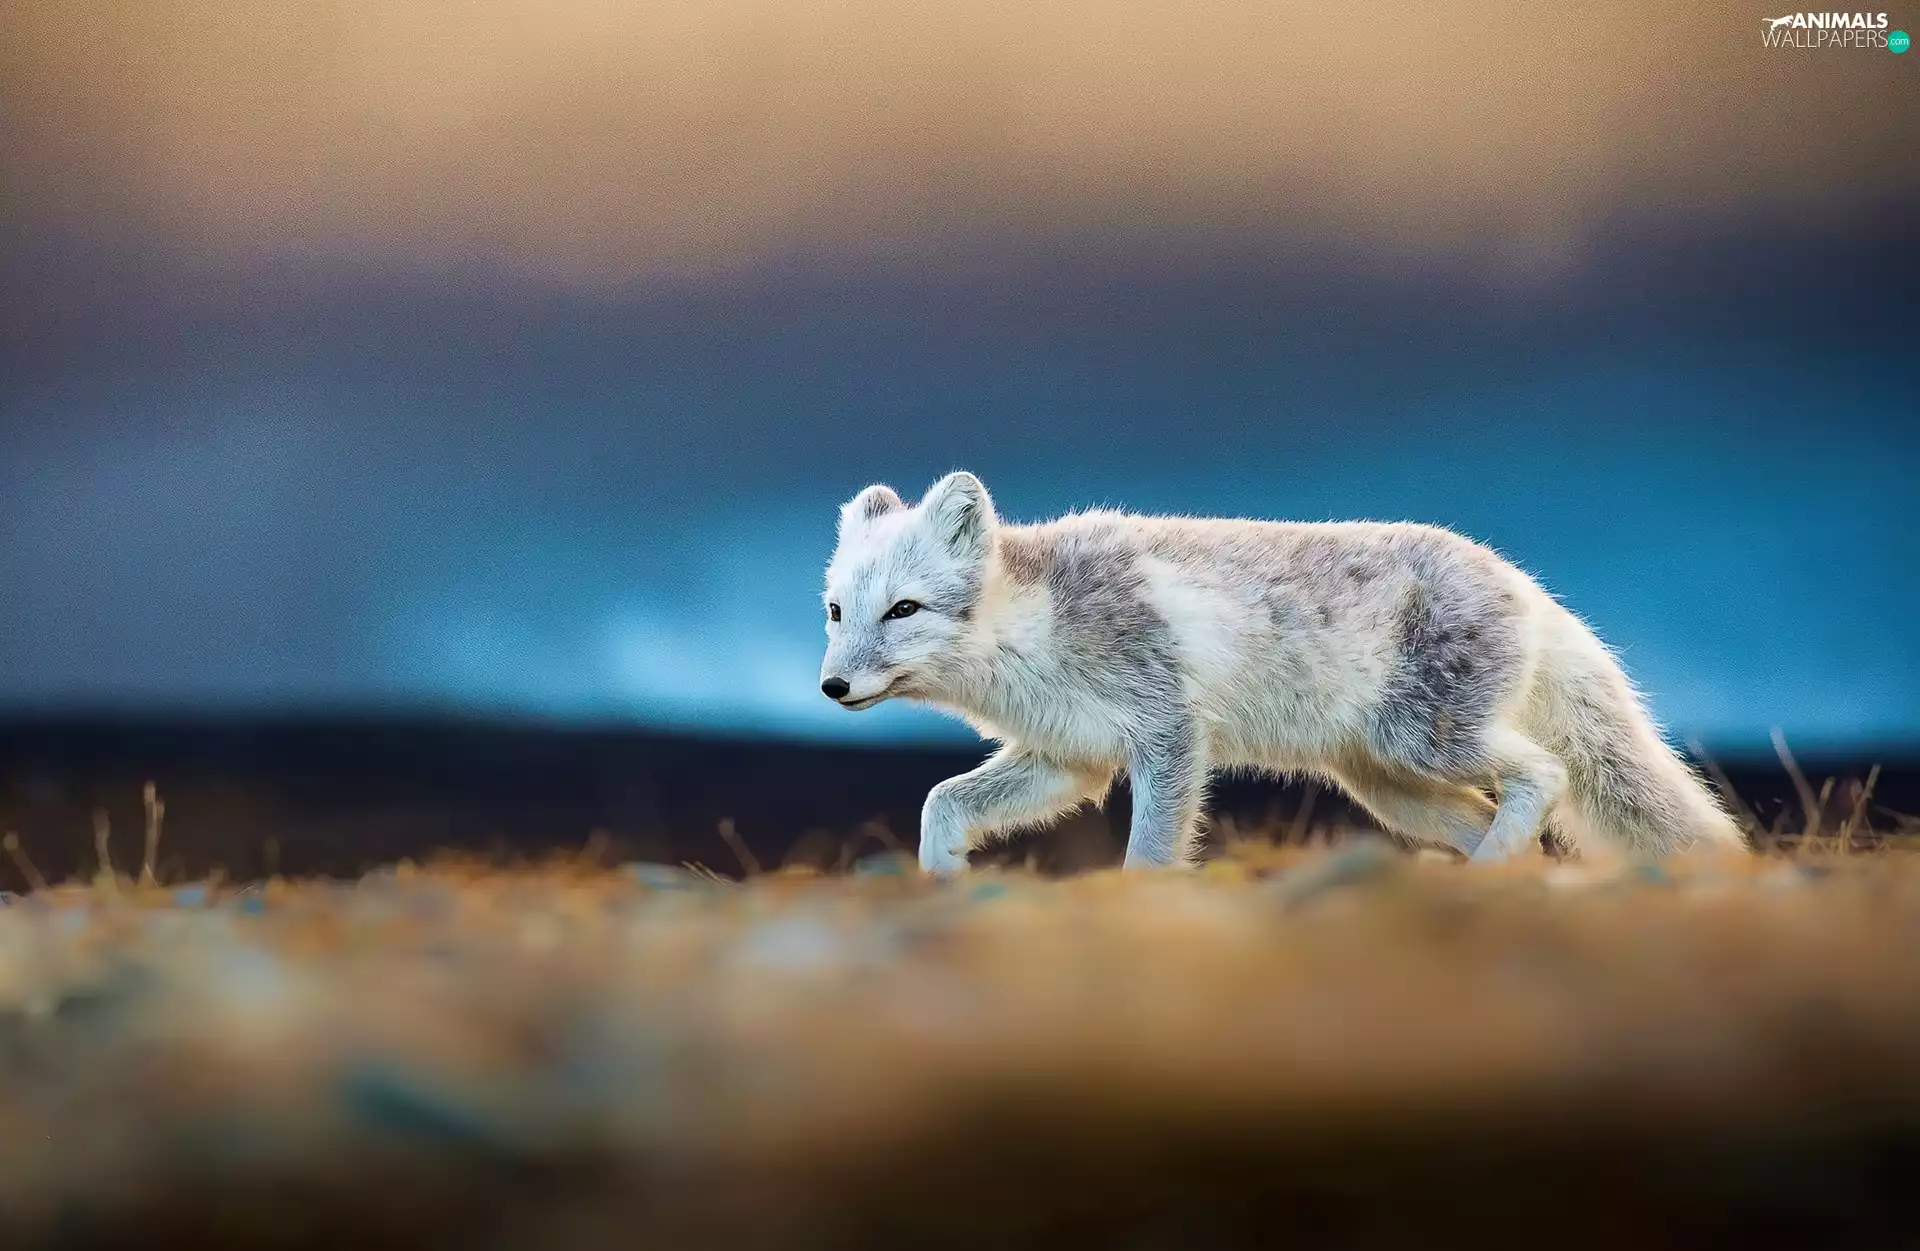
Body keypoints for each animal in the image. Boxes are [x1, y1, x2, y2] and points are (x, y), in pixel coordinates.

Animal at [819, 471, 1749, 876]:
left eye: (902, 610)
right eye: (834, 610)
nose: (832, 689)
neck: (1032, 631)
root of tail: (1528, 584)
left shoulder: (1169, 733)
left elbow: (1150, 853)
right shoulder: (1067, 757)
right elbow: (942, 801)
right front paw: (941, 880)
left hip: (1425, 742)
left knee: (1545, 773)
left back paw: (1493, 868)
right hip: (1391, 785)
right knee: (1488, 810)